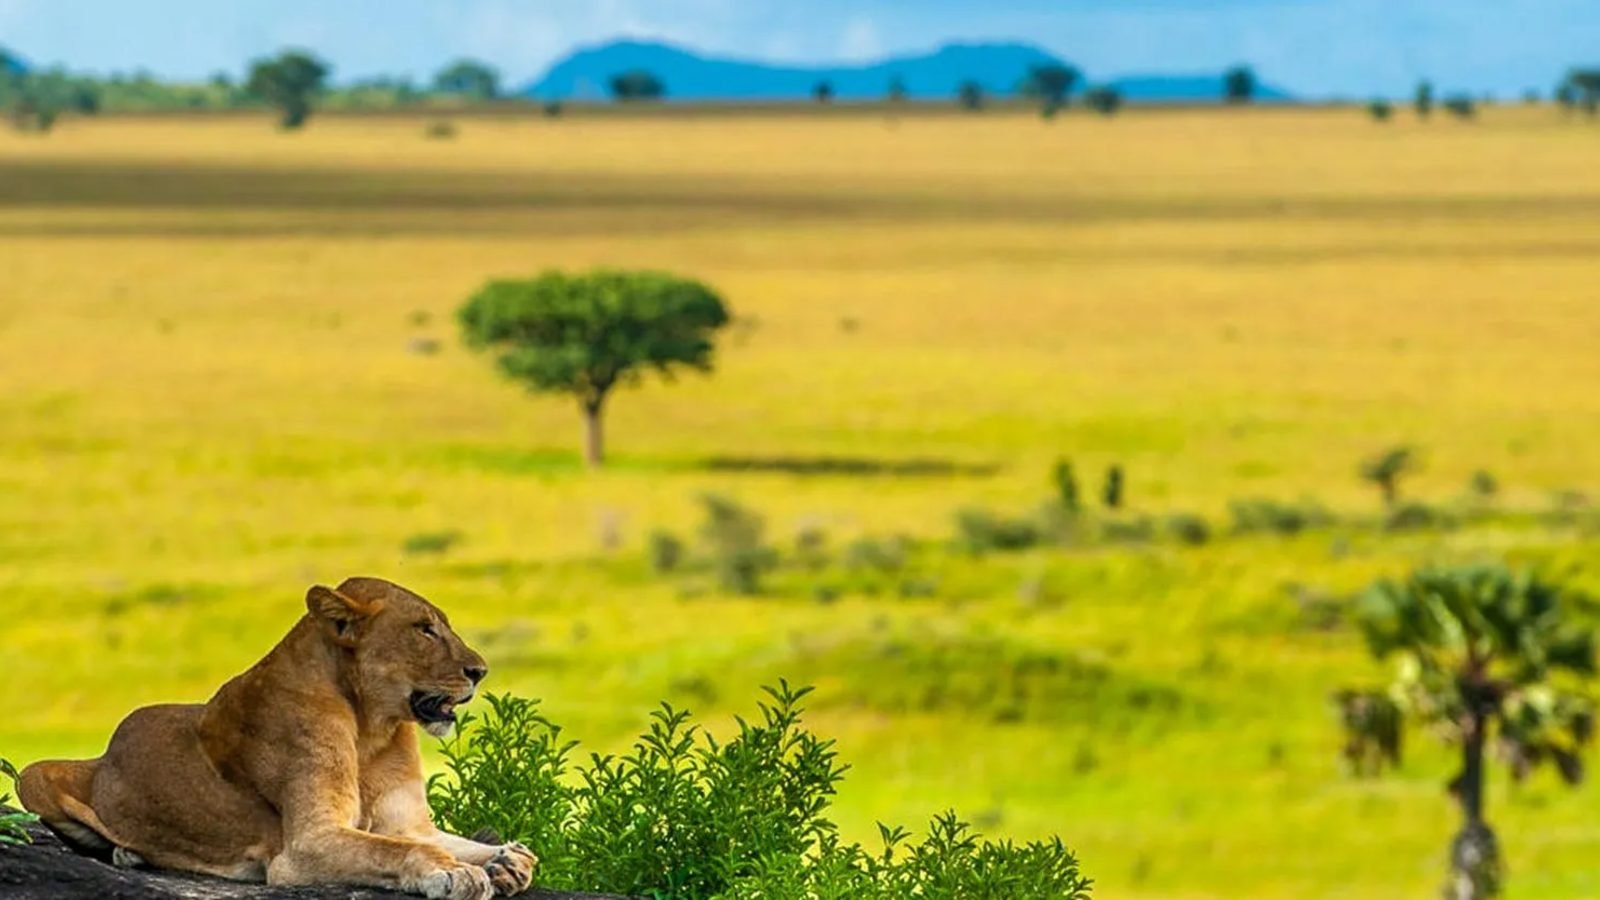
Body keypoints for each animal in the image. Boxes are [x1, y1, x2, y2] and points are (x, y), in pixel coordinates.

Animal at [17, 577, 536, 900]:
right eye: (424, 629)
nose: (480, 671)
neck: (374, 727)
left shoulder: (410, 823)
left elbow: (445, 840)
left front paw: (504, 860)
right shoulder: (305, 846)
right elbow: (398, 849)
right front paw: (451, 871)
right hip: (31, 775)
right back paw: (128, 853)